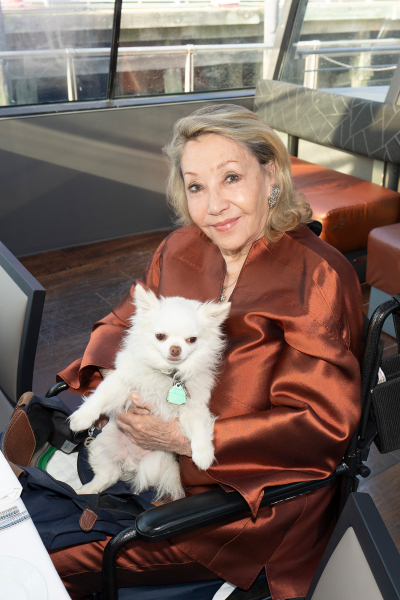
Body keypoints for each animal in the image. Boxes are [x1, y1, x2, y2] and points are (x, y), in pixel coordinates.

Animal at [69, 284, 230, 500]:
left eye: (192, 340)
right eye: (160, 336)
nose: (175, 348)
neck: (168, 374)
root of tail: (130, 460)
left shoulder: (194, 408)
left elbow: (199, 429)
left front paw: (204, 456)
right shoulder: (122, 384)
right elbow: (100, 398)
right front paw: (81, 419)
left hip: (156, 462)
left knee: (111, 475)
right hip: (100, 447)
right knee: (107, 475)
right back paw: (84, 491)